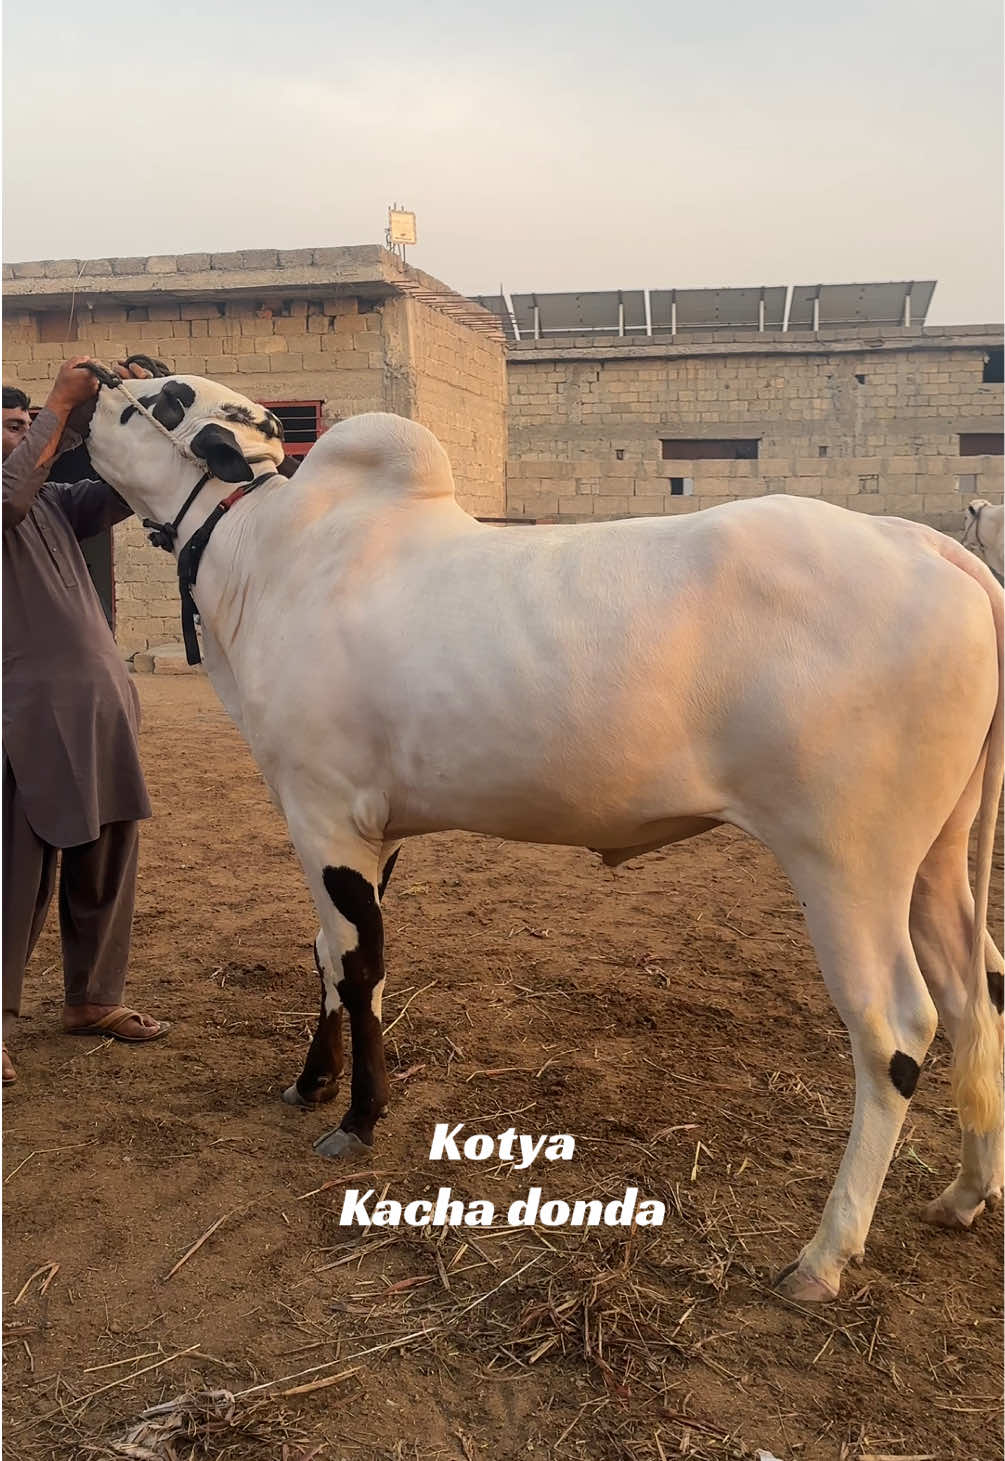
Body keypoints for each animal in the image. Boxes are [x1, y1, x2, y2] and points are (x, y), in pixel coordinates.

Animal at [83, 369, 1004, 1305]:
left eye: (163, 399)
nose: (92, 387)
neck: (270, 556)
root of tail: (928, 547)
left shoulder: (324, 812)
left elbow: (358, 964)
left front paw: (359, 1114)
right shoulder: (368, 827)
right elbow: (328, 958)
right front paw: (312, 1080)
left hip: (850, 862)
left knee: (896, 1030)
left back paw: (824, 1253)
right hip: (934, 859)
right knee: (979, 998)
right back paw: (963, 1193)